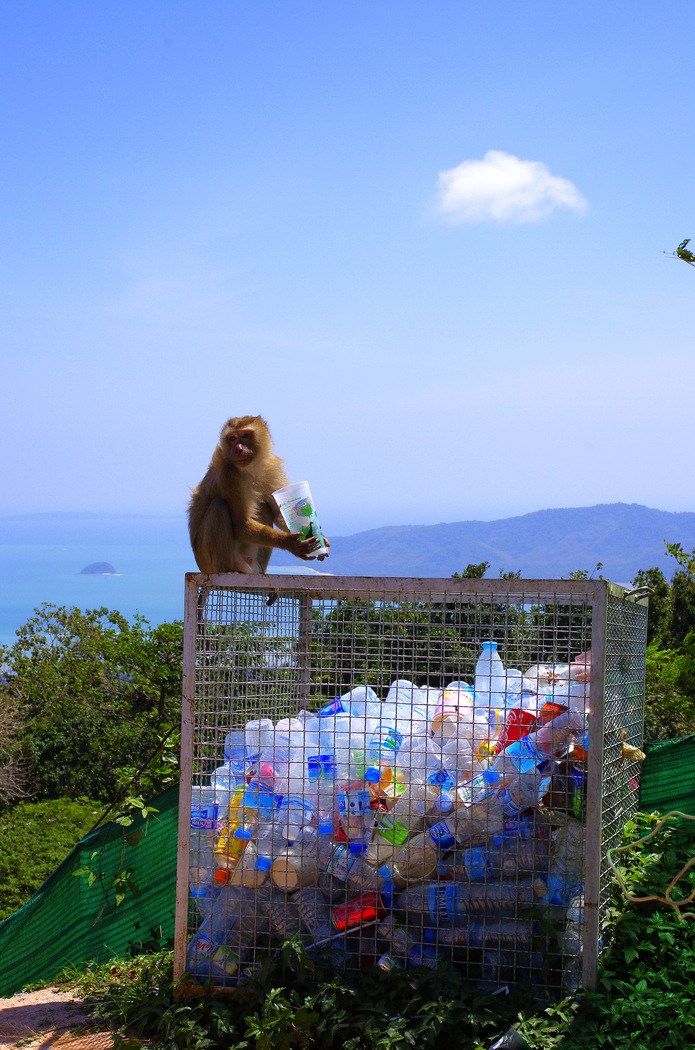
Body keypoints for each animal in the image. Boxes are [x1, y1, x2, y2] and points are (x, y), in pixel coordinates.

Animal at [187, 413, 329, 575]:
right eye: (232, 438)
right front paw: (291, 543)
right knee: (219, 506)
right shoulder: (229, 473)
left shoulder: (272, 466)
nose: (238, 449)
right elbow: (241, 525)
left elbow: (278, 513)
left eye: (245, 435)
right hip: (208, 559)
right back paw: (226, 570)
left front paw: (322, 538)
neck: (250, 468)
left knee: (263, 506)